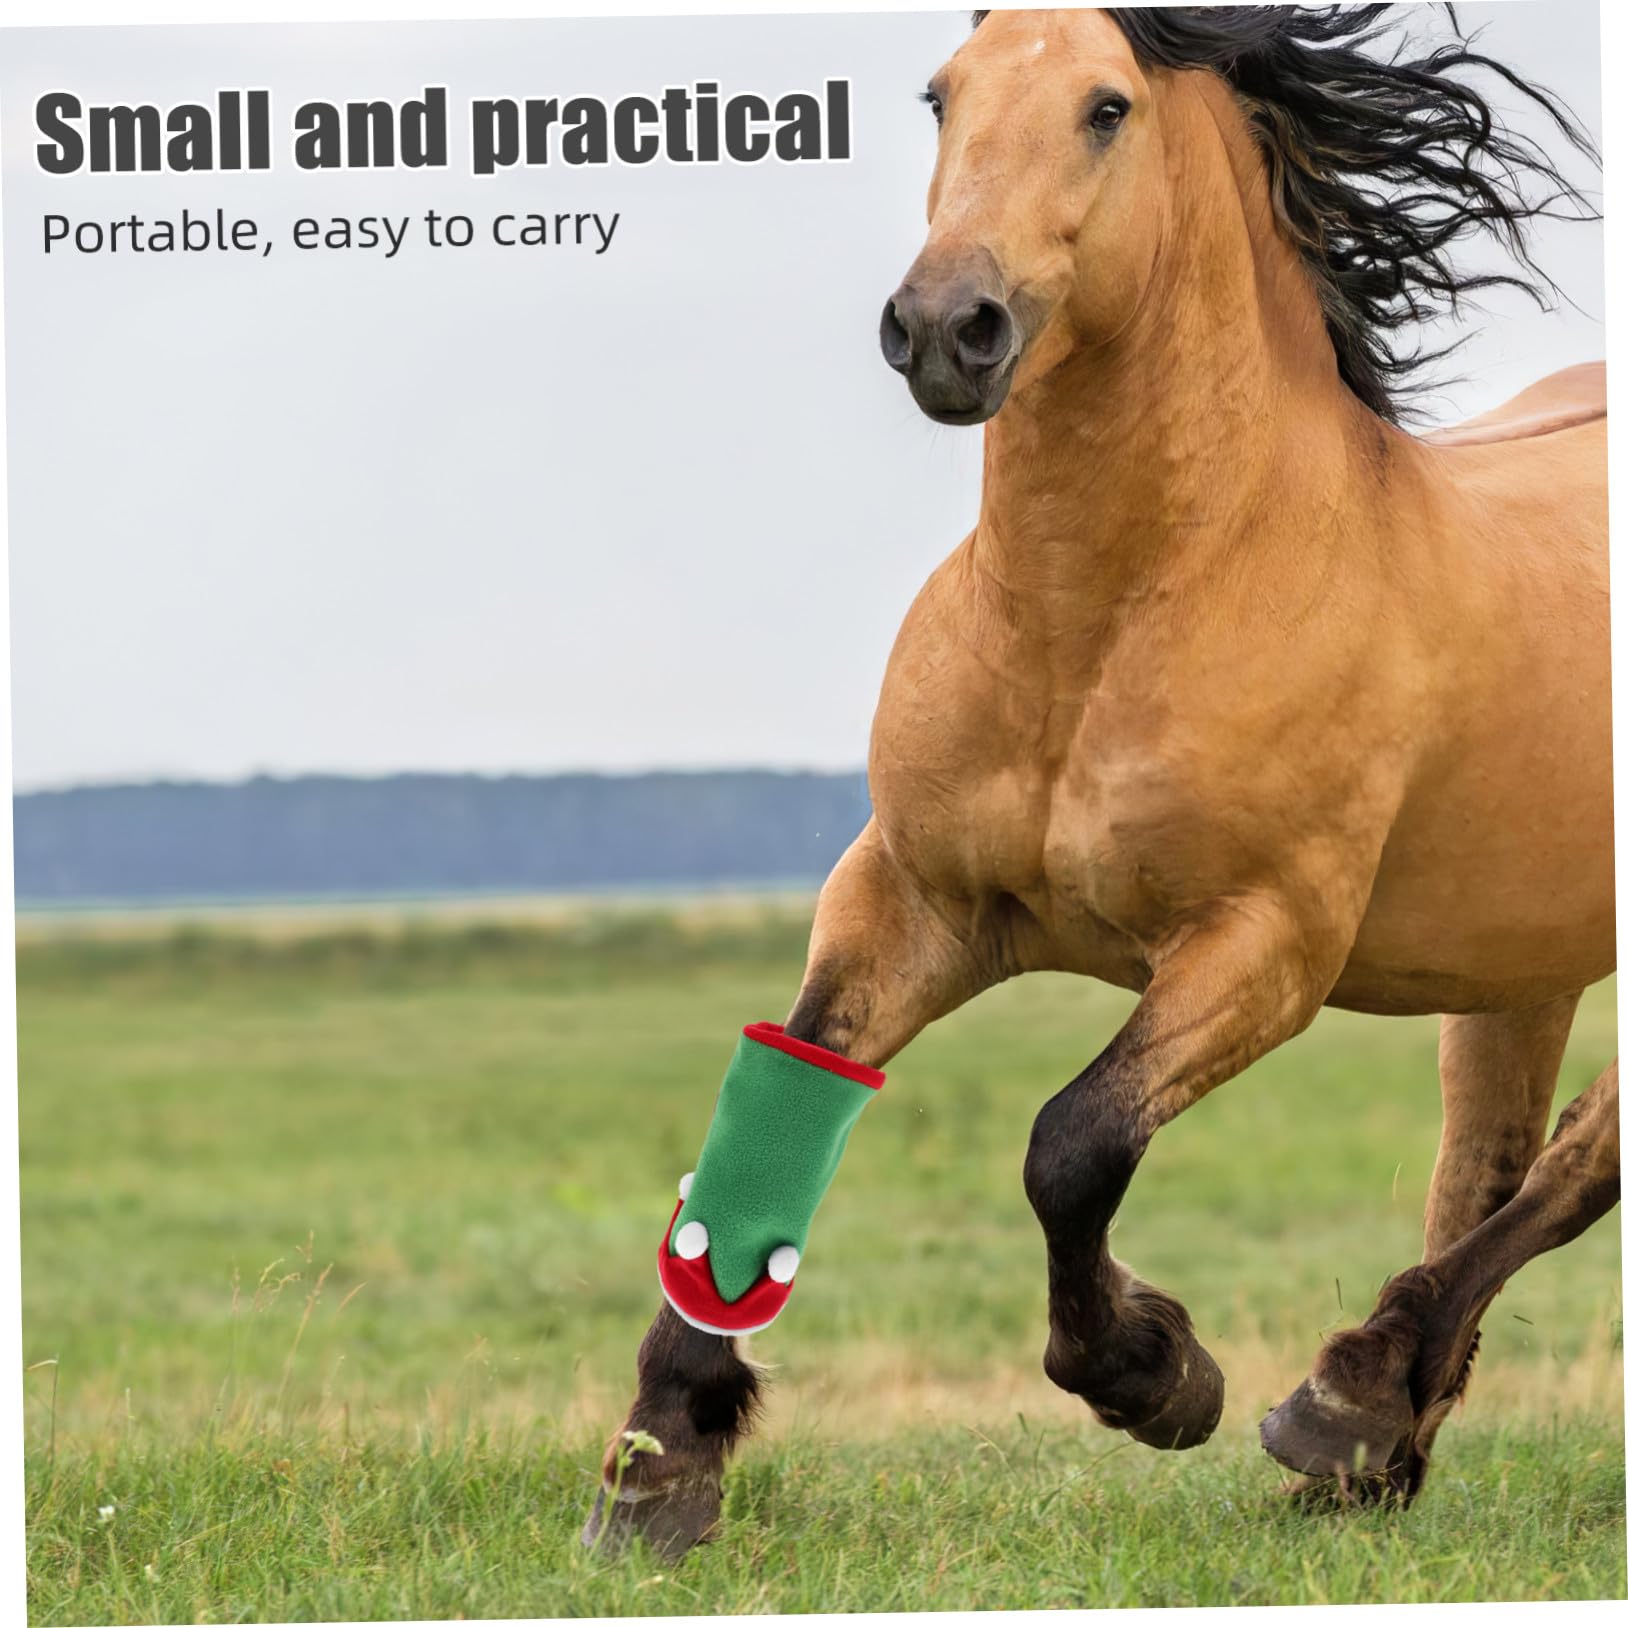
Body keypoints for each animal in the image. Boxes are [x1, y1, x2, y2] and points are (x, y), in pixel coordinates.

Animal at [586, 4, 1614, 1555]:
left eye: (1106, 107)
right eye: (938, 94)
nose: (944, 328)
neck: (1105, 615)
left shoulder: (1264, 945)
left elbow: (1069, 1143)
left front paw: (1156, 1374)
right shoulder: (909, 898)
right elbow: (775, 1098)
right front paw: (662, 1462)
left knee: (1574, 1161)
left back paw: (1344, 1398)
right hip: (1517, 960)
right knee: (1490, 1164)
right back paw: (1376, 1441)